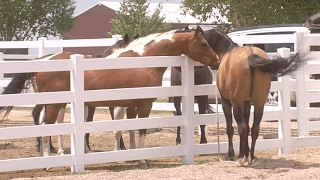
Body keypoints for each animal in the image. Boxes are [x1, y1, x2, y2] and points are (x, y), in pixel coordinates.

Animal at [0, 25, 220, 167]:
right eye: (203, 43)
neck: (144, 61)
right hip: (55, 104)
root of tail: (45, 60)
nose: (217, 61)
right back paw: (48, 162)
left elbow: (129, 129)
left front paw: (132, 155)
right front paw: (142, 160)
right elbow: (139, 129)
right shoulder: (144, 104)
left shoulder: (131, 105)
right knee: (47, 127)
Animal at [204, 27, 306, 166]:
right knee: (254, 128)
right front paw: (246, 153)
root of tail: (250, 57)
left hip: (236, 103)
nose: (213, 65)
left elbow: (231, 128)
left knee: (241, 127)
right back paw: (251, 157)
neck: (227, 52)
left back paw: (241, 158)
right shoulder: (247, 103)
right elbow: (248, 126)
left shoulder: (226, 102)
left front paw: (231, 155)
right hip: (259, 104)